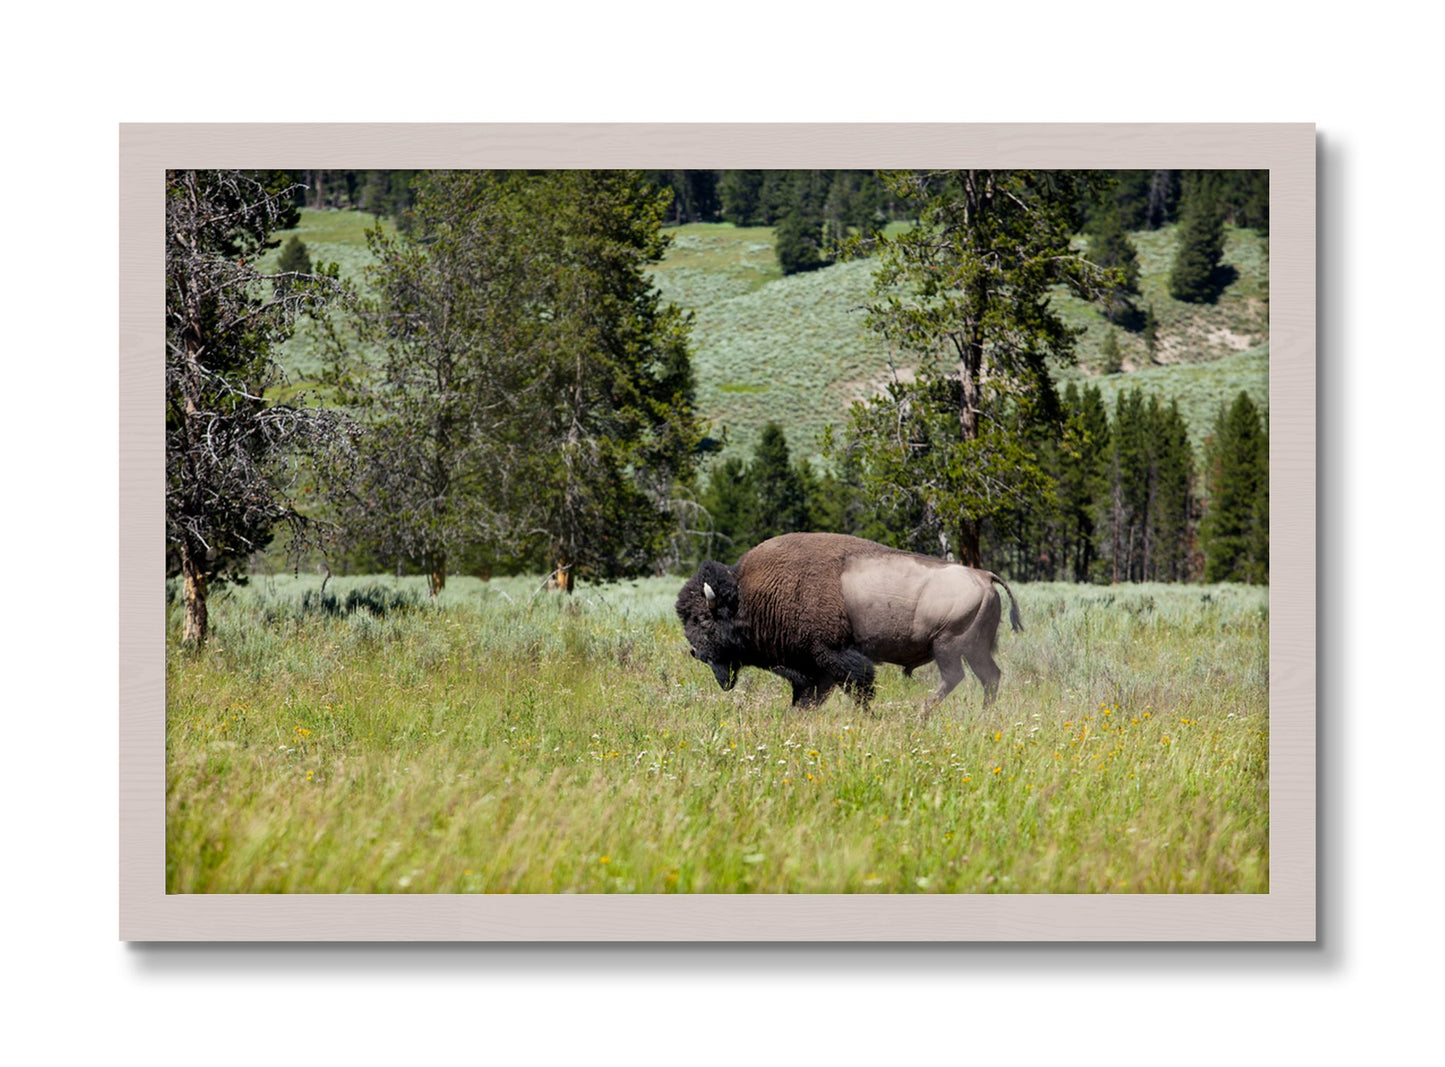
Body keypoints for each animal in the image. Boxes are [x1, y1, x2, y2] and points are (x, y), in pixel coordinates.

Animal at [675, 532, 1023, 711]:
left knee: (955, 678)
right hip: (974, 649)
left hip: (948, 646)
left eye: (703, 619)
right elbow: (808, 698)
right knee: (990, 677)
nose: (695, 652)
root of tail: (984, 575)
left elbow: (859, 688)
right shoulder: (813, 670)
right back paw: (982, 715)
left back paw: (920, 715)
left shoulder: (833, 657)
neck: (749, 595)